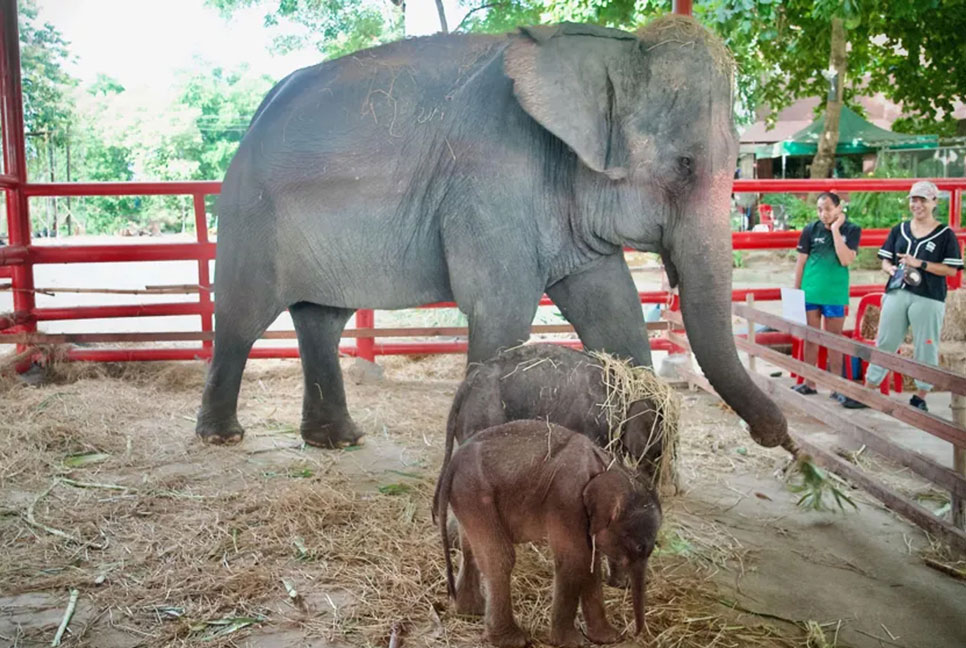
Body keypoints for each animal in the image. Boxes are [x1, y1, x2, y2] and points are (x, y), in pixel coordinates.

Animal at [193, 13, 792, 450]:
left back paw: (337, 440)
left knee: (321, 319)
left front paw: (641, 463)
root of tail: (257, 112)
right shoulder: (491, 180)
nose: (779, 439)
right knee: (243, 318)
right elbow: (501, 310)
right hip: (249, 216)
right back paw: (223, 437)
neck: (610, 46)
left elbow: (613, 307)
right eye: (685, 165)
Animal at [434, 418, 660, 644]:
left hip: (466, 496)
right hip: (475, 492)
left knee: (470, 547)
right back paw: (513, 640)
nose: (633, 633)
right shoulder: (567, 498)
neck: (607, 466)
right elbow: (575, 559)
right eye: (639, 547)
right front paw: (573, 643)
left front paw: (608, 638)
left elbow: (591, 563)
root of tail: (452, 463)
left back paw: (471, 611)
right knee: (500, 558)